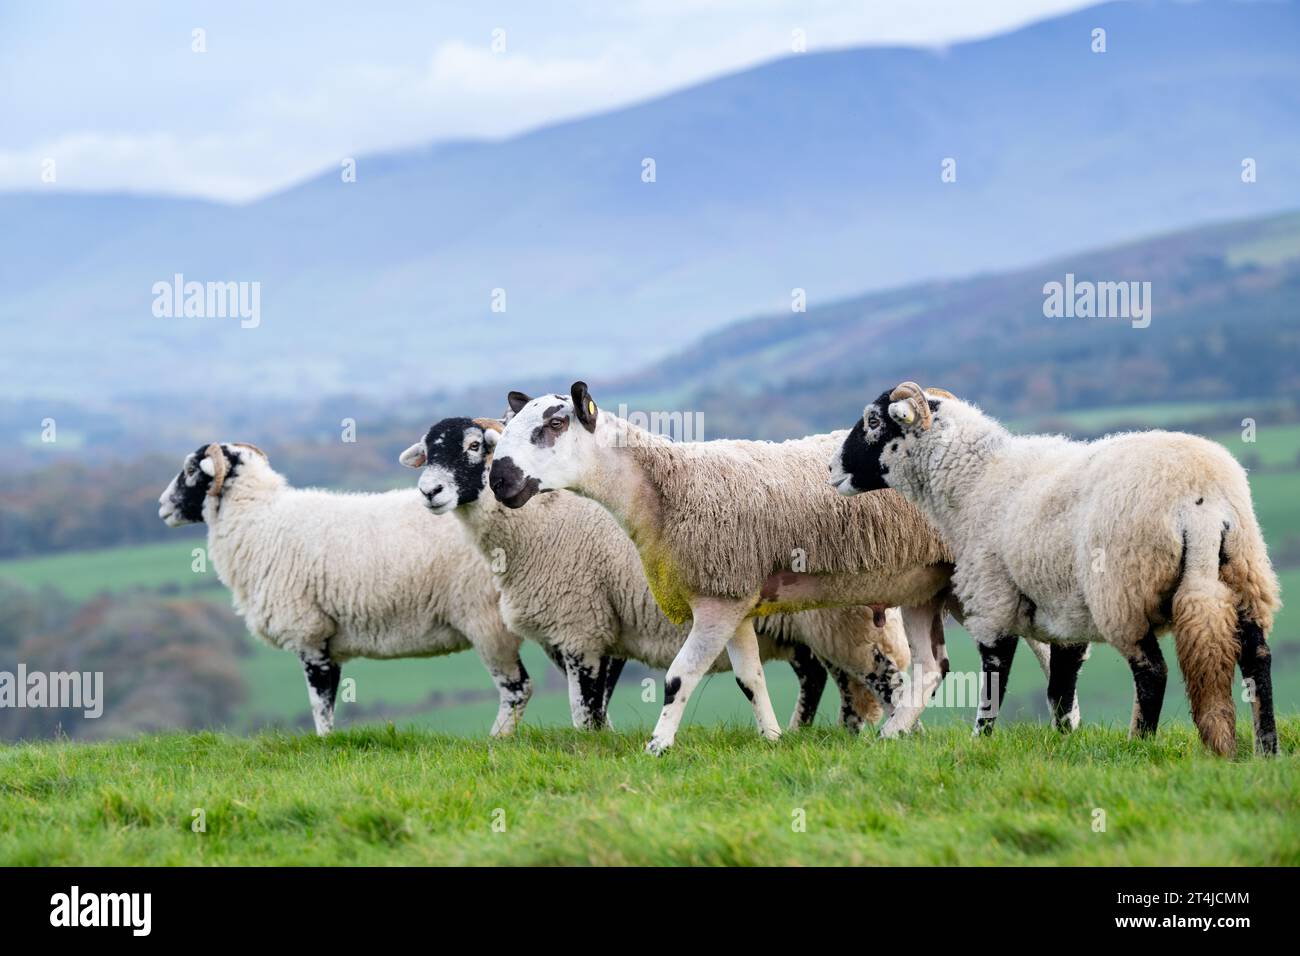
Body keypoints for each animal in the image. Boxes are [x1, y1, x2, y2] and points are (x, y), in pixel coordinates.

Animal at [157, 444, 533, 738]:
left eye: (190, 469)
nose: (161, 507)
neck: (259, 520)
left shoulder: (309, 633)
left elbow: (320, 705)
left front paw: (323, 745)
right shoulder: (327, 639)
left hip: (486, 619)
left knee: (517, 688)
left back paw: (496, 740)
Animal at [400, 416, 909, 738]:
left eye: (474, 447)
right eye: (427, 453)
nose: (431, 492)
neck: (539, 519)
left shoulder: (581, 628)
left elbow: (585, 708)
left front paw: (593, 744)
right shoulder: (594, 634)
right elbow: (597, 706)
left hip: (841, 618)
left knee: (883, 677)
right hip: (809, 626)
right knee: (831, 680)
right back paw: (815, 732)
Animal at [832, 382, 1279, 754]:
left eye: (874, 421)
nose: (832, 471)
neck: (973, 479)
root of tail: (1200, 498)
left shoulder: (993, 599)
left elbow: (995, 679)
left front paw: (980, 741)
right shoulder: (1067, 613)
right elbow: (1059, 690)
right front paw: (1064, 740)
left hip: (1124, 590)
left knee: (1153, 672)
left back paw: (1139, 744)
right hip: (1245, 574)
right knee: (1257, 657)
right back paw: (1267, 749)